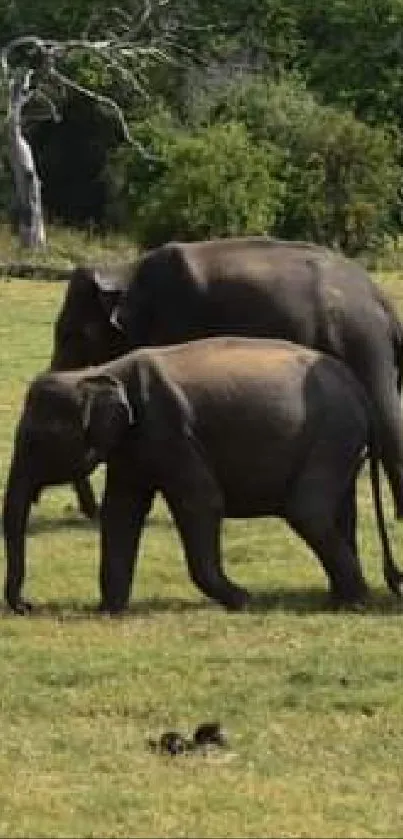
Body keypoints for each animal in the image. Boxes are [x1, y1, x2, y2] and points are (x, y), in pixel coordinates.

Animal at [3, 336, 403, 616]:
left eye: (36, 441)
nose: (29, 605)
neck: (101, 371)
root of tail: (359, 389)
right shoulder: (133, 445)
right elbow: (121, 511)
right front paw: (109, 610)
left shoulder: (171, 431)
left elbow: (201, 502)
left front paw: (243, 599)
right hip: (339, 442)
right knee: (338, 511)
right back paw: (340, 599)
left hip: (332, 434)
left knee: (307, 510)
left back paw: (354, 602)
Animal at [51, 238, 403, 524]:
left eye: (72, 335)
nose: (91, 512)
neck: (126, 271)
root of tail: (382, 300)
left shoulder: (176, 322)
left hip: (360, 338)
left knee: (385, 416)